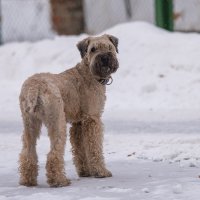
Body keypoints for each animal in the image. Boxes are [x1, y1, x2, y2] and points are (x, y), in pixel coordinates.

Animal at [18, 33, 119, 187]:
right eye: (93, 49)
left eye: (109, 47)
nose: (104, 58)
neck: (89, 72)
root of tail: (35, 87)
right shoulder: (92, 119)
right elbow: (94, 147)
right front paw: (100, 172)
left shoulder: (78, 123)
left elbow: (80, 149)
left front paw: (85, 171)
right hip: (57, 122)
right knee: (53, 153)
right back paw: (60, 180)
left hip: (30, 124)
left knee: (28, 153)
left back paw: (28, 181)